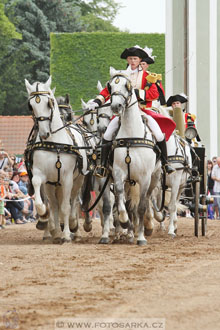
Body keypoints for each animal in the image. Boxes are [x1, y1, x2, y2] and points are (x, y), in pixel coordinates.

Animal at [24, 76, 87, 242]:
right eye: (31, 106)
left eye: (49, 103)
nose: (44, 133)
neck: (54, 143)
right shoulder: (41, 175)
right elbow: (44, 200)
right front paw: (44, 217)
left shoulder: (67, 178)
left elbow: (66, 206)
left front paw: (66, 234)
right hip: (52, 184)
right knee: (53, 203)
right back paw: (54, 230)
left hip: (78, 180)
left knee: (73, 201)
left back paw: (73, 227)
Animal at [109, 67, 161, 245]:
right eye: (110, 86)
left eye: (128, 86)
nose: (116, 106)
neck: (131, 135)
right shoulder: (119, 173)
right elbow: (121, 201)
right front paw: (125, 223)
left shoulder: (144, 178)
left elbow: (142, 206)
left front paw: (141, 237)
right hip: (129, 182)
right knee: (128, 204)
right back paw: (130, 231)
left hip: (154, 178)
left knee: (148, 199)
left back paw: (147, 226)